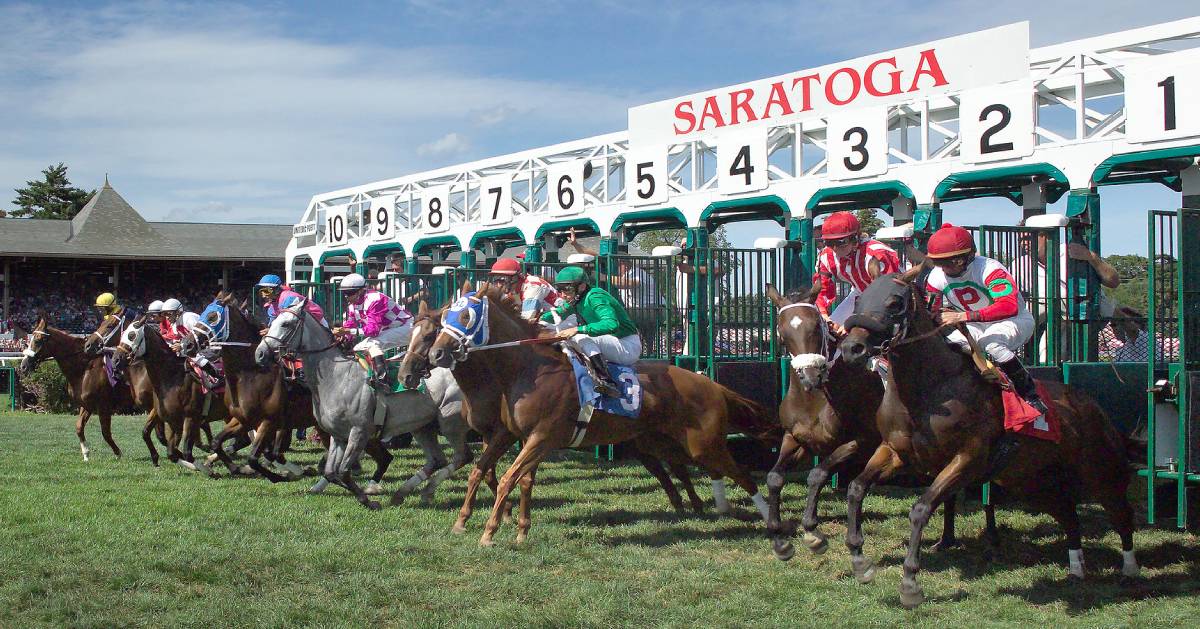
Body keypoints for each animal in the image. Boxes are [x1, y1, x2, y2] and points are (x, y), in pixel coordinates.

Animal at [18, 316, 132, 458]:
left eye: (38, 340)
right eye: (29, 340)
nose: (23, 366)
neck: (85, 368)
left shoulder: (103, 406)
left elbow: (105, 433)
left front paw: (118, 453)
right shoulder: (86, 404)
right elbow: (79, 427)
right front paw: (86, 453)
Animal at [255, 301, 470, 511]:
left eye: (286, 324)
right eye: (273, 321)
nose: (260, 353)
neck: (337, 376)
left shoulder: (359, 431)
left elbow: (343, 471)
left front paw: (368, 500)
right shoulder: (338, 435)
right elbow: (331, 472)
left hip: (449, 421)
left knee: (462, 457)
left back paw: (424, 490)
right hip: (422, 426)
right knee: (437, 460)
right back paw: (403, 493)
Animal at [398, 284, 782, 544]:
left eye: (464, 316)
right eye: (444, 319)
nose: (436, 355)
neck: (525, 369)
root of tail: (710, 383)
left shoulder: (541, 437)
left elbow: (508, 478)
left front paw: (491, 531)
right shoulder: (510, 434)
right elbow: (489, 472)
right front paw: (486, 525)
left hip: (704, 444)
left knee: (742, 474)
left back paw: (769, 522)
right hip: (658, 441)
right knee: (680, 470)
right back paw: (698, 507)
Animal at [763, 282, 998, 561]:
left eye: (816, 327)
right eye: (782, 332)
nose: (811, 376)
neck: (816, 400)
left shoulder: (864, 441)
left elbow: (818, 474)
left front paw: (812, 531)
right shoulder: (795, 438)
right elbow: (774, 477)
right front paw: (777, 533)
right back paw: (945, 540)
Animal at [835, 268, 1132, 609]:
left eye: (894, 302)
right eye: (859, 299)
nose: (852, 348)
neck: (930, 388)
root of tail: (1090, 403)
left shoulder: (968, 459)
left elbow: (921, 509)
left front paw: (910, 582)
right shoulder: (895, 451)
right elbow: (856, 488)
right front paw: (859, 561)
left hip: (1099, 472)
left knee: (1121, 514)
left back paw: (1130, 571)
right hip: (1033, 483)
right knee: (1070, 516)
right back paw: (1076, 570)